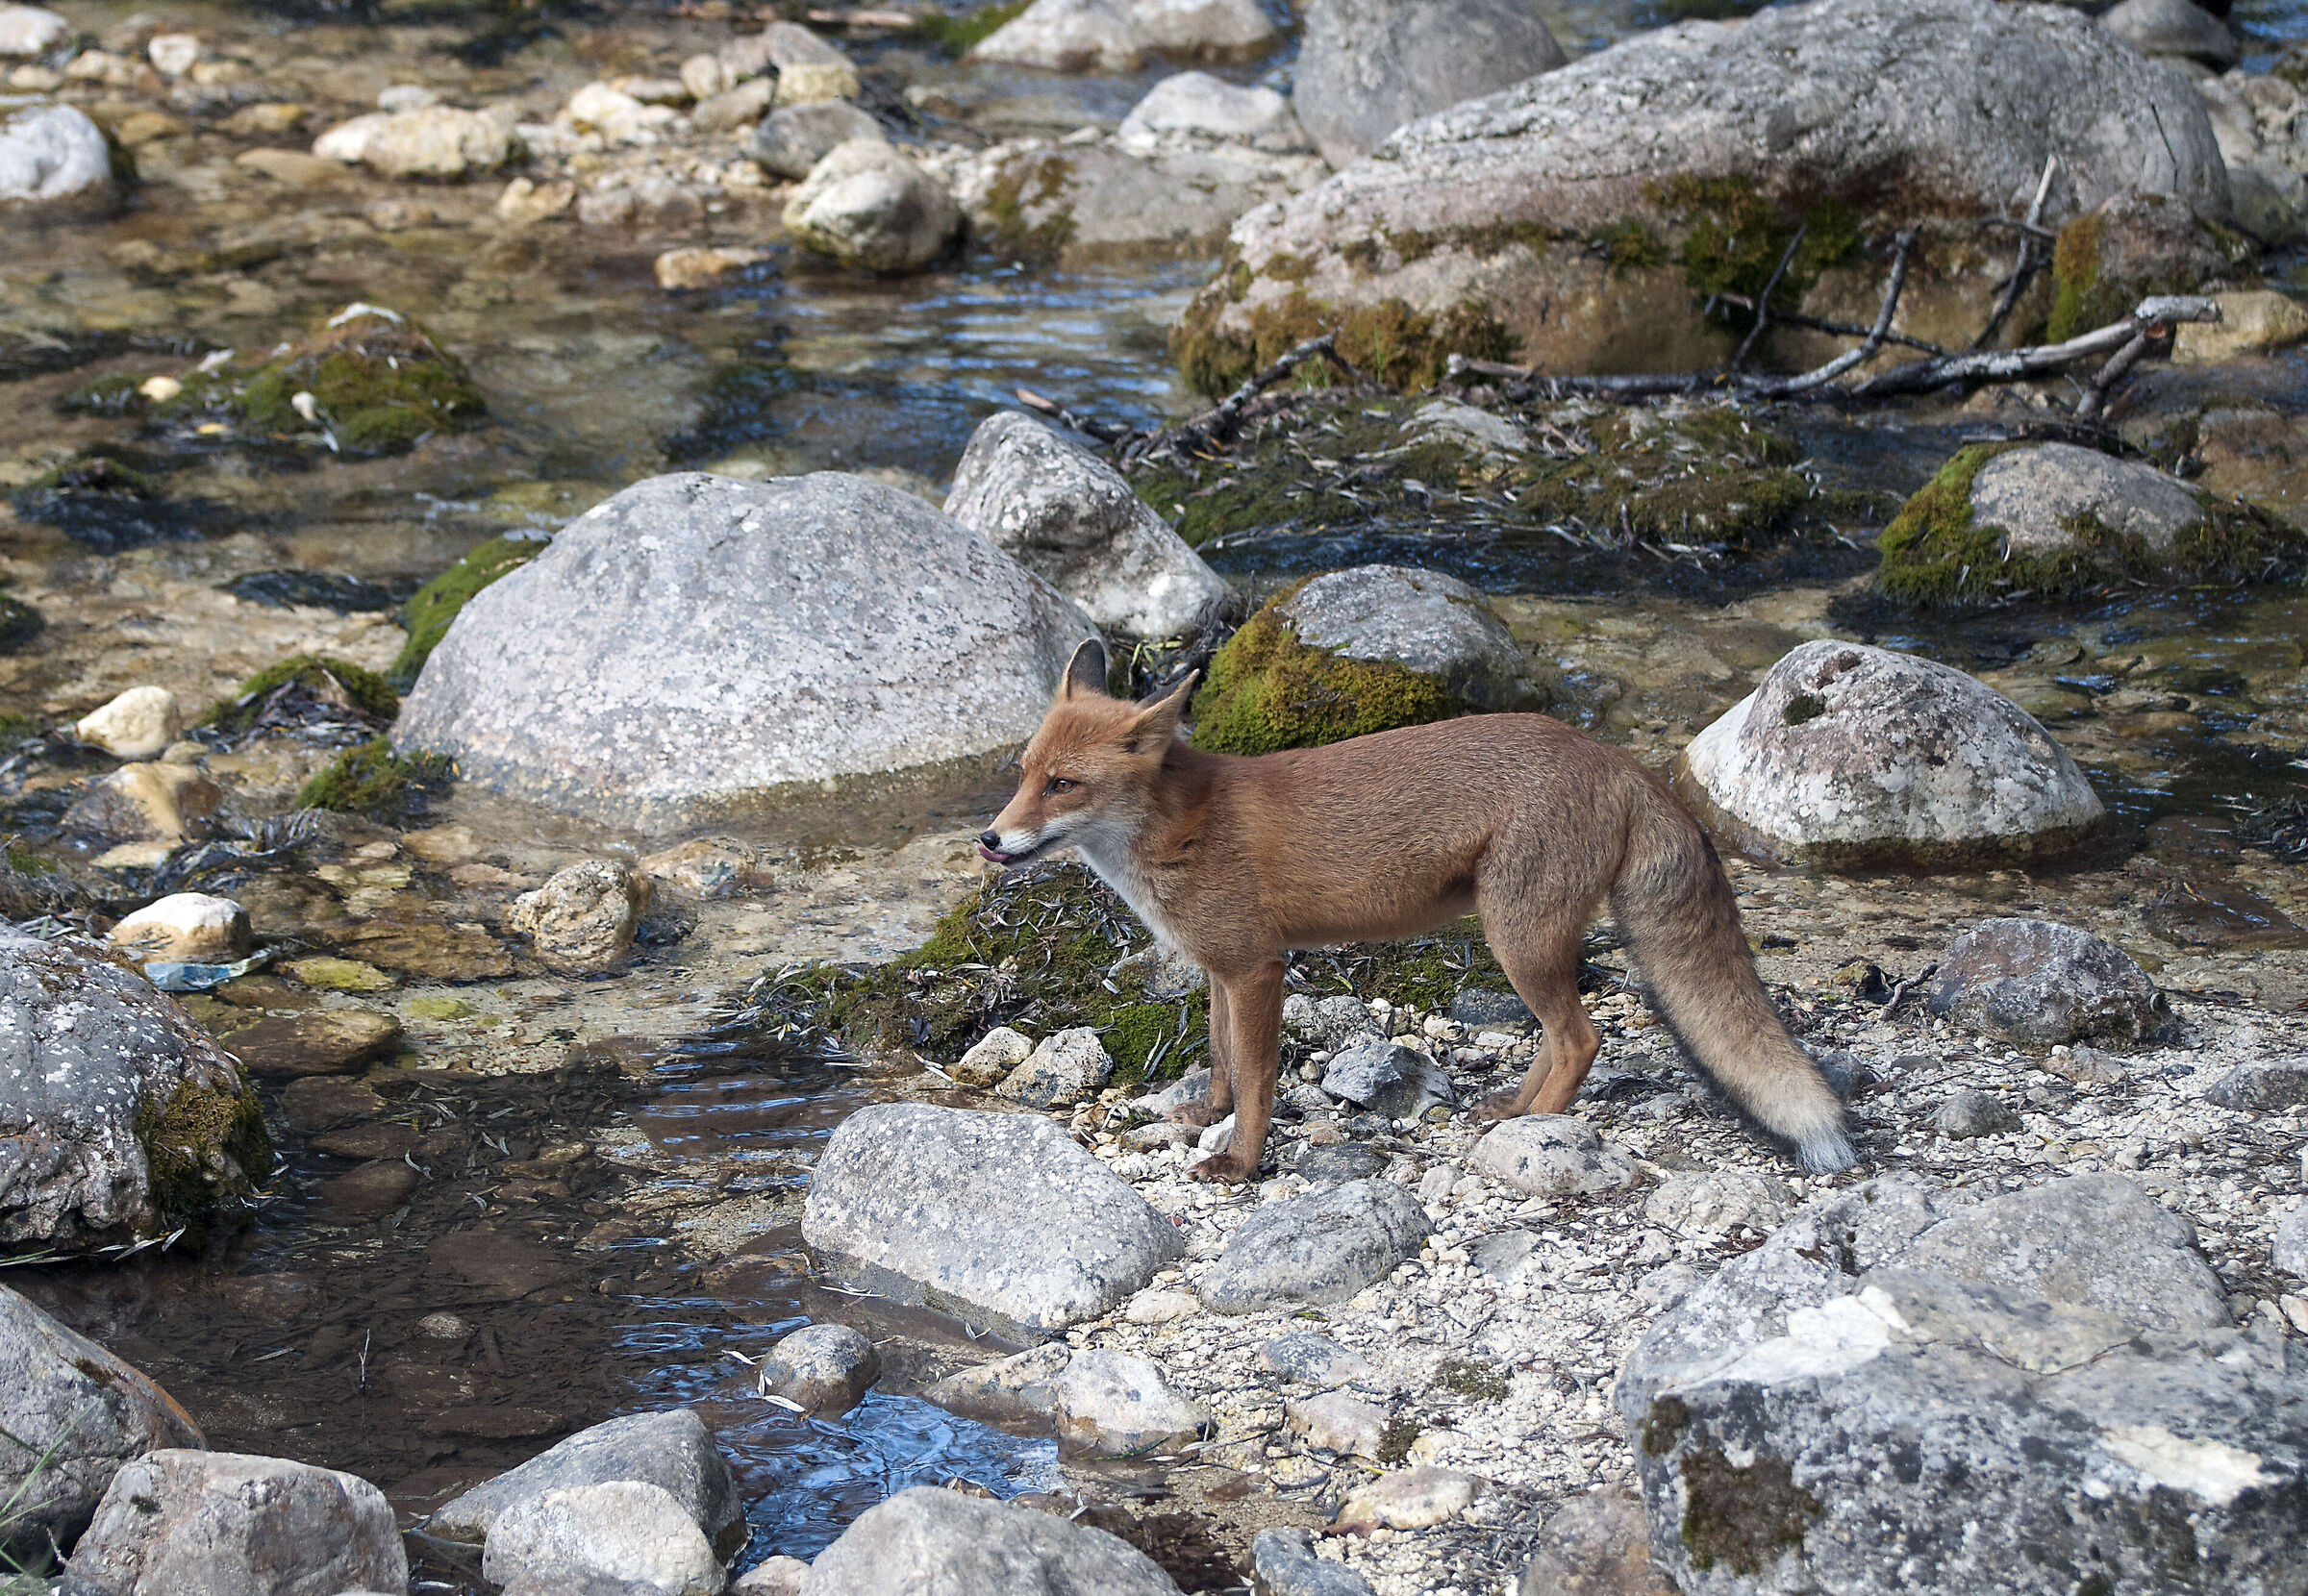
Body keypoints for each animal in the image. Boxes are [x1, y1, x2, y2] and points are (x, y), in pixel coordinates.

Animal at [976, 639, 1854, 1186]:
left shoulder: (1258, 968)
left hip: (1516, 937)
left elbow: (1258, 1081)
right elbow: (1223, 1062)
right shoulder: (1222, 970)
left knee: (1583, 1037)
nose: (989, 839)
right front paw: (1206, 1117)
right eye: (1022, 774)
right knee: (1560, 1035)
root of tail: (1620, 759)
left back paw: (1535, 1129)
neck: (1183, 827)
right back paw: (1514, 1109)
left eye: (1064, 785)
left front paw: (1243, 1163)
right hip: (1523, 941)